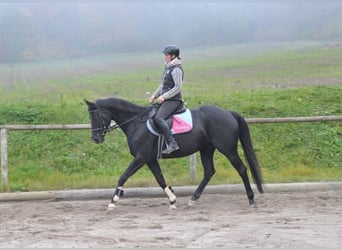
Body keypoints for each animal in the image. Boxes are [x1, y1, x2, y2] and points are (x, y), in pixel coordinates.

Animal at [84, 97, 264, 209]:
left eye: (96, 116)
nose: (95, 139)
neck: (136, 123)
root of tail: (228, 113)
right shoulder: (150, 159)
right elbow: (160, 179)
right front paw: (172, 199)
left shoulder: (141, 157)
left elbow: (123, 176)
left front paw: (113, 201)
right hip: (206, 149)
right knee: (209, 171)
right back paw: (193, 199)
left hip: (228, 149)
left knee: (241, 169)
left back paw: (251, 199)